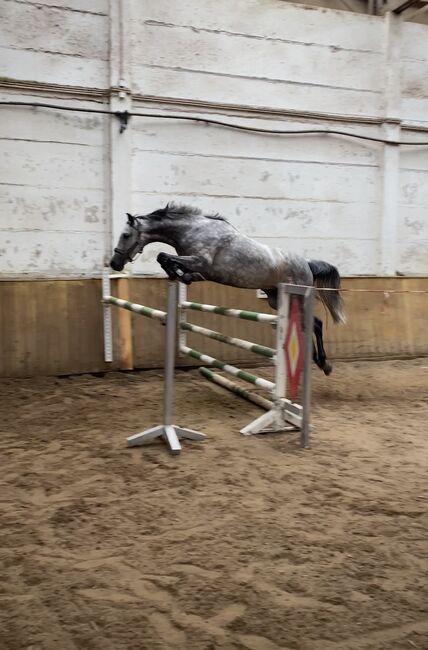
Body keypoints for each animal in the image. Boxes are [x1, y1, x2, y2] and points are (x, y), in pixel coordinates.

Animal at [110, 202, 344, 374]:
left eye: (126, 235)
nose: (114, 264)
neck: (193, 229)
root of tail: (307, 264)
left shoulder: (200, 262)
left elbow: (163, 255)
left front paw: (176, 273)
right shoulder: (202, 271)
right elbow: (169, 261)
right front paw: (179, 275)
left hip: (297, 298)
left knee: (316, 324)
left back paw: (324, 363)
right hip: (276, 299)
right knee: (309, 325)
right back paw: (315, 361)